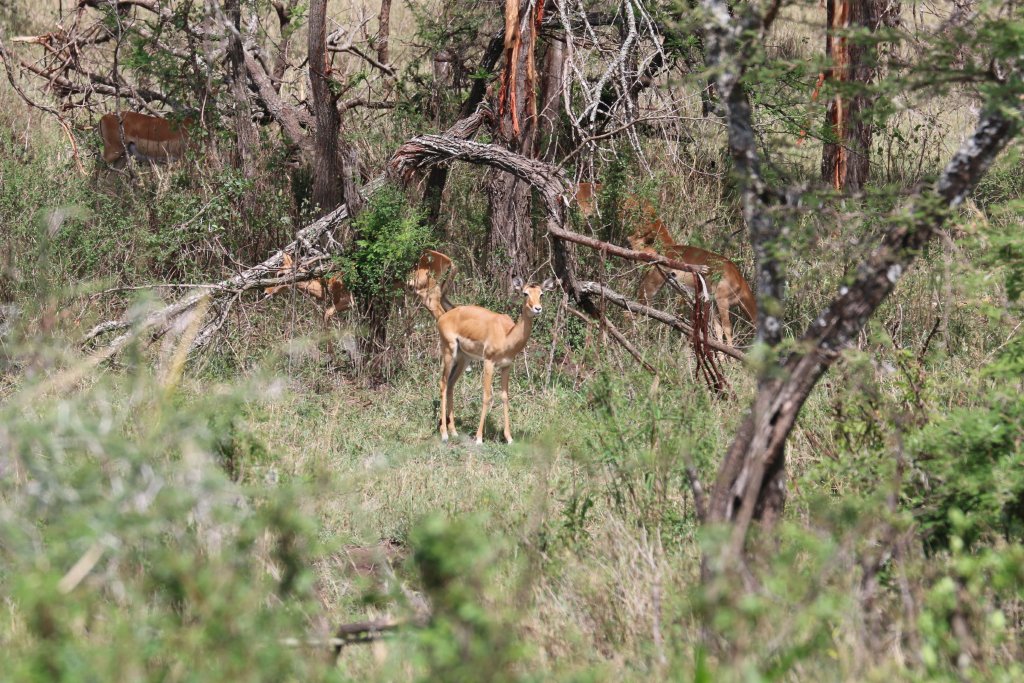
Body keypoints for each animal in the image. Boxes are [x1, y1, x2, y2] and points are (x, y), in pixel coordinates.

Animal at [437, 276, 556, 444]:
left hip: (464, 358)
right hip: (449, 351)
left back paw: (453, 431)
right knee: (443, 383)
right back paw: (444, 434)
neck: (506, 336)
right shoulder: (489, 362)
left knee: (451, 384)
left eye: (542, 294)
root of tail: (443, 316)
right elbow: (487, 396)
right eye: (525, 293)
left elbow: (505, 397)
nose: (537, 308)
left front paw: (509, 438)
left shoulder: (506, 366)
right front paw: (479, 438)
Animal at [574, 182, 757, 347]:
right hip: (652, 286)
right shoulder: (721, 301)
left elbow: (717, 332)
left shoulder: (712, 303)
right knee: (631, 311)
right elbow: (727, 331)